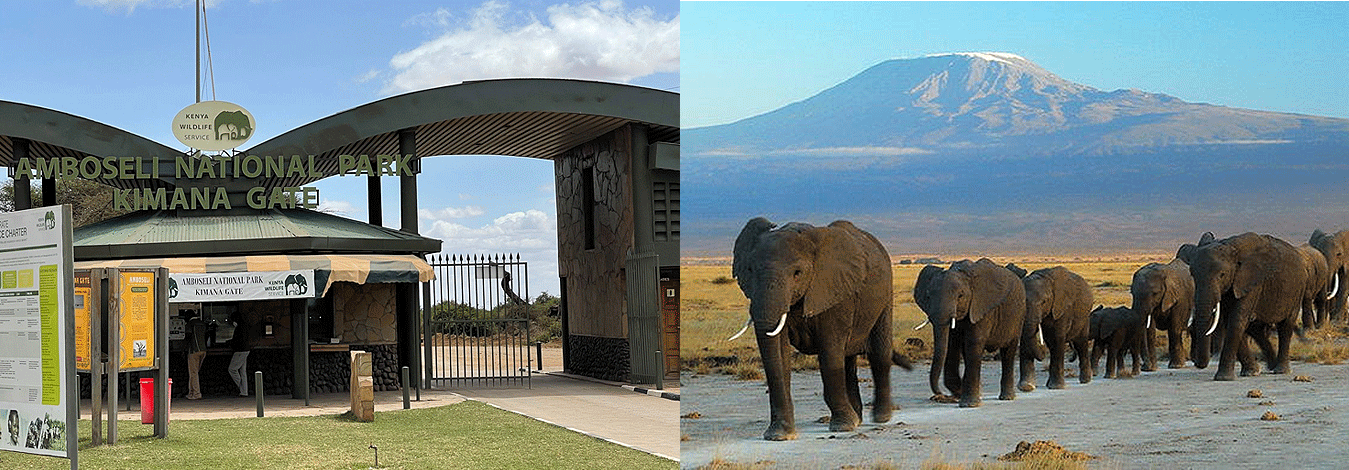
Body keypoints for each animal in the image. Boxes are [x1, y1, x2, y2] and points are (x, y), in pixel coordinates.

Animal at [733, 216, 911, 440]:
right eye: (750, 270)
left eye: (797, 273)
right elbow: (779, 355)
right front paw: (779, 435)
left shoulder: (835, 291)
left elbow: (829, 351)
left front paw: (843, 426)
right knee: (848, 360)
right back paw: (858, 418)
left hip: (885, 296)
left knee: (878, 354)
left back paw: (880, 418)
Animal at [911, 256, 1025, 407]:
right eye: (928, 296)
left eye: (960, 296)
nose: (939, 395)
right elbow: (952, 343)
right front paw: (960, 394)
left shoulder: (981, 306)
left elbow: (973, 342)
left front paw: (968, 403)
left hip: (1018, 315)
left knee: (1008, 352)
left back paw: (1007, 397)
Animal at [1192, 233, 1305, 380]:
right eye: (1192, 274)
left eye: (1222, 275)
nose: (1198, 364)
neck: (1230, 246)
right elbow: (1231, 321)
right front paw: (1251, 372)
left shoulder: (1251, 282)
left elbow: (1236, 320)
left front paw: (1223, 378)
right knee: (1256, 329)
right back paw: (1270, 366)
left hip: (1298, 290)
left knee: (1286, 326)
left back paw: (1281, 370)